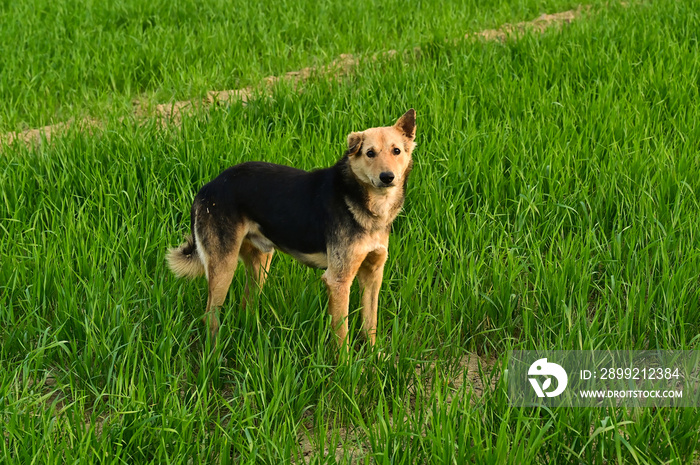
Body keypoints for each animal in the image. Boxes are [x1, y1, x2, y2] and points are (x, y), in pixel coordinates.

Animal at [165, 109, 416, 348]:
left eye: (396, 151)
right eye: (370, 153)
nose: (387, 177)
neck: (367, 203)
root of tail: (208, 187)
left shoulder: (373, 273)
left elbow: (370, 324)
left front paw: (375, 356)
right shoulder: (338, 280)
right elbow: (341, 335)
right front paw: (346, 363)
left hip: (261, 262)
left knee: (247, 304)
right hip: (223, 266)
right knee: (210, 317)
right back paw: (215, 354)